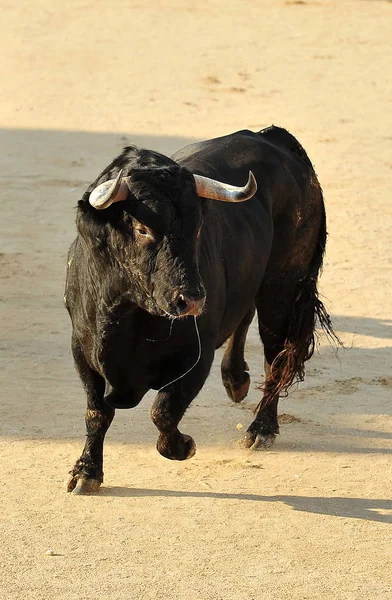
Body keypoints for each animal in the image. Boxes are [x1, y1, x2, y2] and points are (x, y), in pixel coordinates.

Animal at [66, 125, 336, 492]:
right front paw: (86, 472)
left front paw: (184, 446)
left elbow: (163, 410)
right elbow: (97, 413)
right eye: (142, 228)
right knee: (244, 315)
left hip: (281, 290)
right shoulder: (82, 349)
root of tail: (272, 137)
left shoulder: (197, 355)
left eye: (197, 228)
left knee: (275, 356)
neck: (129, 314)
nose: (192, 300)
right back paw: (236, 380)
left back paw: (261, 429)